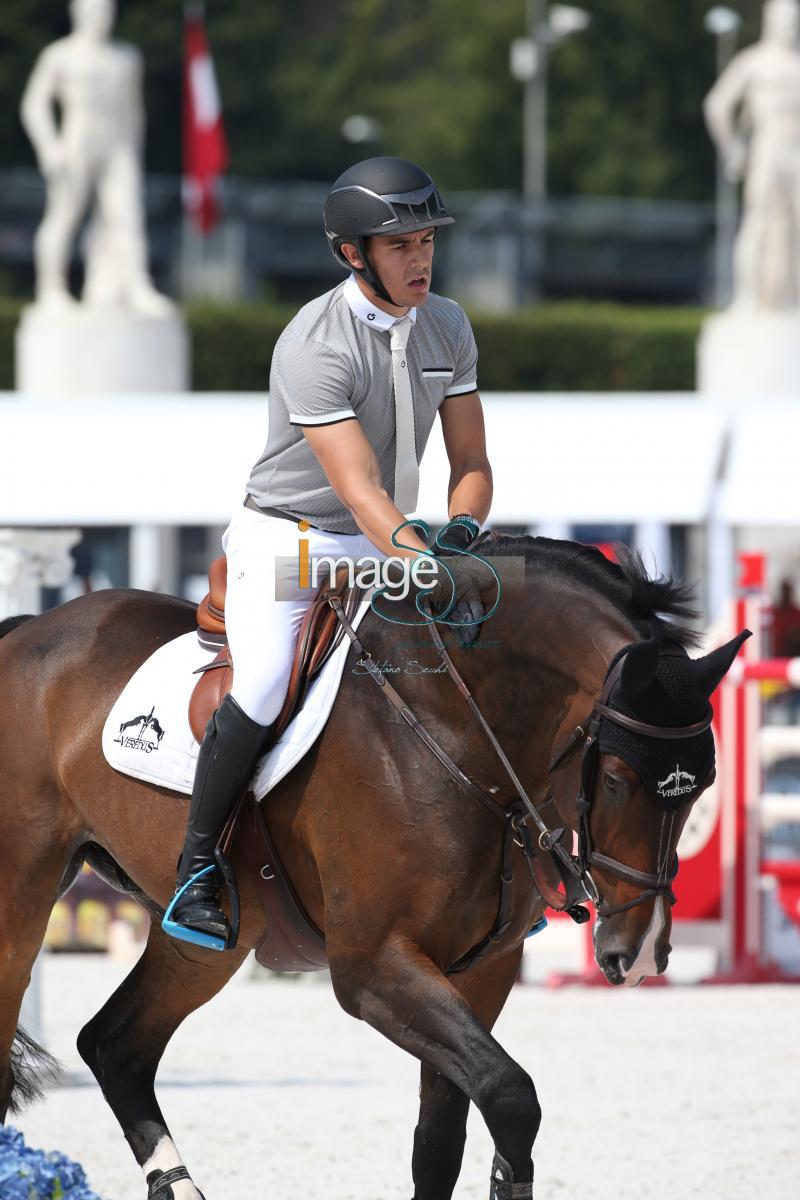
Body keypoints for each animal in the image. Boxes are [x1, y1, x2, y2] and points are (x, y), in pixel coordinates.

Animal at [0, 537, 743, 1200]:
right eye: (616, 779)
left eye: (702, 786)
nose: (639, 953)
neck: (457, 728)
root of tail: (28, 630)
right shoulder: (374, 967)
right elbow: (510, 1094)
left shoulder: (481, 970)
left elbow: (442, 1137)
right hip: (23, 902)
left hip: (210, 940)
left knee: (116, 1046)